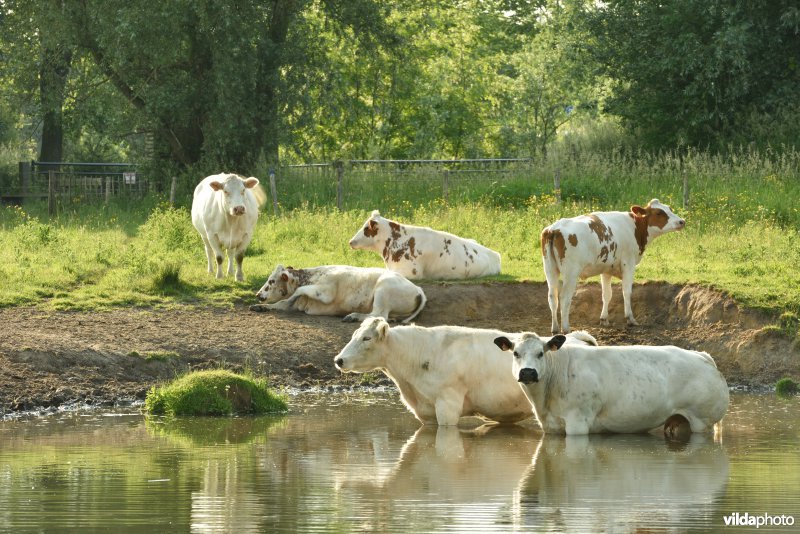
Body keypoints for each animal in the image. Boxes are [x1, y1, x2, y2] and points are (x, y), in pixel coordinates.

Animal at [250, 264, 428, 322]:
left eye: (272, 281)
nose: (258, 294)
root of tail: (418, 289)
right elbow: (281, 304)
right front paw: (259, 306)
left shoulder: (326, 292)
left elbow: (297, 292)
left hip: (383, 289)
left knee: (379, 315)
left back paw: (353, 316)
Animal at [334, 318, 596, 428]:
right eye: (354, 334)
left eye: (366, 338)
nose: (339, 360)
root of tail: (577, 337)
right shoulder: (427, 413)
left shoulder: (448, 404)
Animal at [490, 332, 728, 438]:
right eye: (515, 353)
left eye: (541, 353)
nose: (528, 372)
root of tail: (703, 356)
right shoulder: (551, 427)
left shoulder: (578, 422)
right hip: (679, 421)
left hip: (701, 421)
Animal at [540, 201, 684, 336]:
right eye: (659, 213)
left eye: (670, 209)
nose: (682, 221)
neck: (634, 227)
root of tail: (554, 228)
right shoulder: (628, 263)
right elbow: (627, 292)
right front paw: (630, 319)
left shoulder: (606, 269)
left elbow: (606, 295)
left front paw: (604, 319)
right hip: (571, 272)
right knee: (564, 298)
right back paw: (566, 328)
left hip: (550, 269)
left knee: (552, 297)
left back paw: (555, 329)